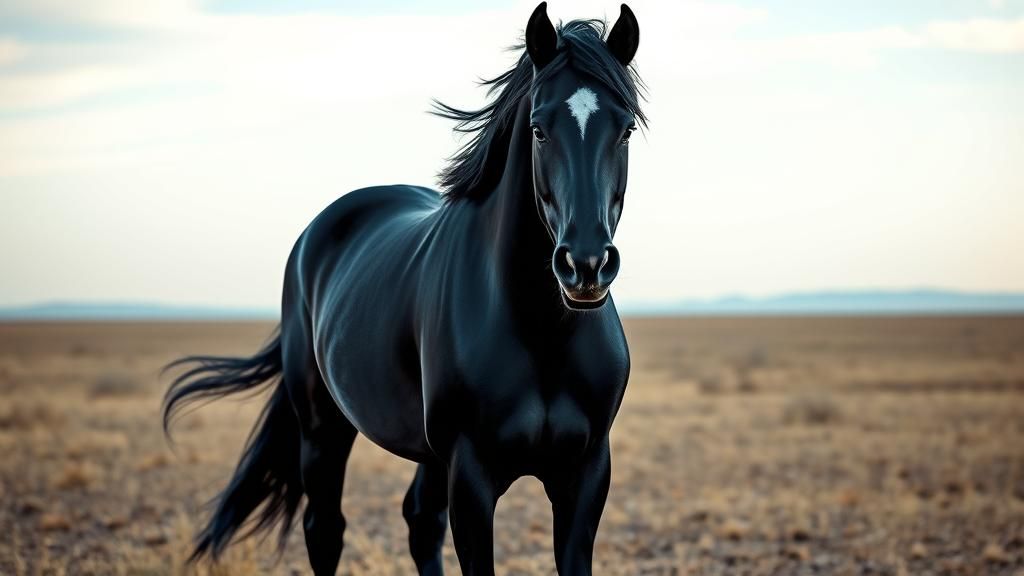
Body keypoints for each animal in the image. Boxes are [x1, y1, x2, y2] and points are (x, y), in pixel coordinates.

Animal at [163, 3, 645, 574]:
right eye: (538, 129)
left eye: (626, 129)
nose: (585, 265)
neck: (541, 333)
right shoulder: (471, 478)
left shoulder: (585, 475)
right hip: (323, 430)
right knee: (325, 530)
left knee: (419, 522)